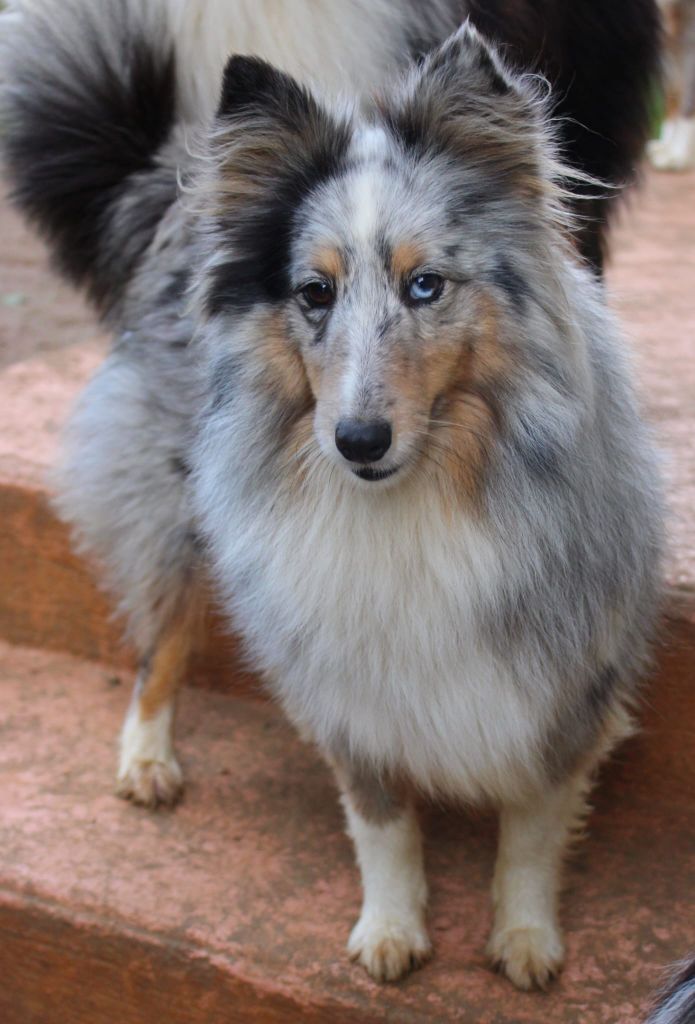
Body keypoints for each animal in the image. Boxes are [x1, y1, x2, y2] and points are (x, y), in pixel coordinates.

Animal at [0, 0, 663, 991]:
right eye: (314, 293)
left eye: (425, 285)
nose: (356, 443)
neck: (422, 494)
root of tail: (179, 181)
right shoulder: (346, 675)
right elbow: (382, 821)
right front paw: (389, 933)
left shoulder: (566, 674)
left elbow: (533, 824)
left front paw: (523, 938)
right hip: (174, 508)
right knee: (161, 641)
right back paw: (147, 760)